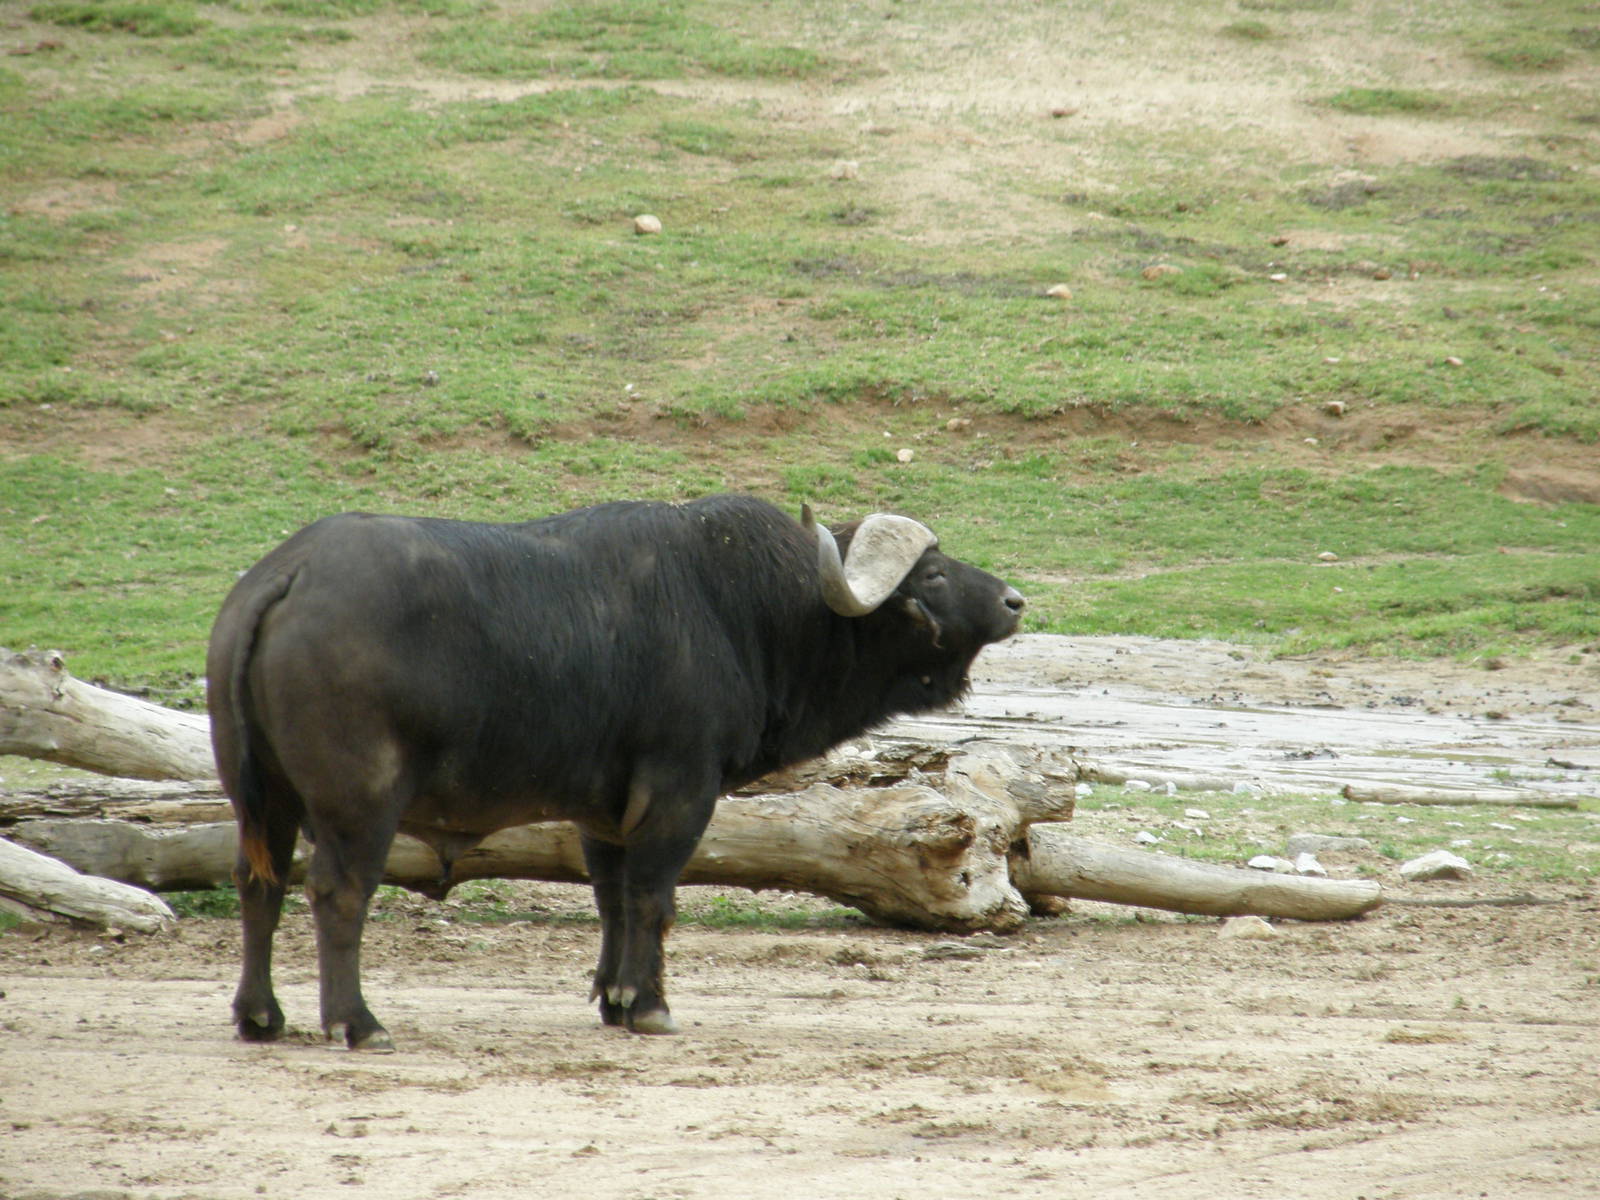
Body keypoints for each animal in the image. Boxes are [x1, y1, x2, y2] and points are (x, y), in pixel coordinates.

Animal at [207, 494, 1024, 1047]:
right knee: (337, 894)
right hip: (359, 805)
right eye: (935, 574)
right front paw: (649, 1004)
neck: (743, 611)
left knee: (257, 885)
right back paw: (357, 1021)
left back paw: (260, 1015)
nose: (1015, 599)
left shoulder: (601, 813)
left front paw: (612, 997)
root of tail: (287, 573)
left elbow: (611, 900)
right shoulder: (679, 794)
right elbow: (653, 897)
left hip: (261, 804)